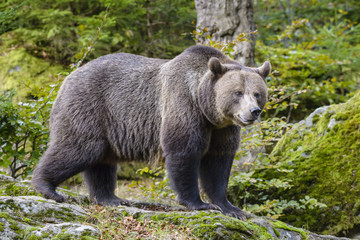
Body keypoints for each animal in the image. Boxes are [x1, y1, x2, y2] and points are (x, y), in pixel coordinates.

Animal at [32, 45, 270, 219]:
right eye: (238, 92)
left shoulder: (222, 129)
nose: (253, 111)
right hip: (90, 105)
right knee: (78, 147)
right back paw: (46, 187)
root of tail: (68, 77)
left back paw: (111, 198)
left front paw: (232, 208)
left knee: (101, 160)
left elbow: (218, 163)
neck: (206, 107)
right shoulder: (183, 105)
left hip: (107, 124)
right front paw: (199, 203)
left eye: (257, 93)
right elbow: (184, 151)